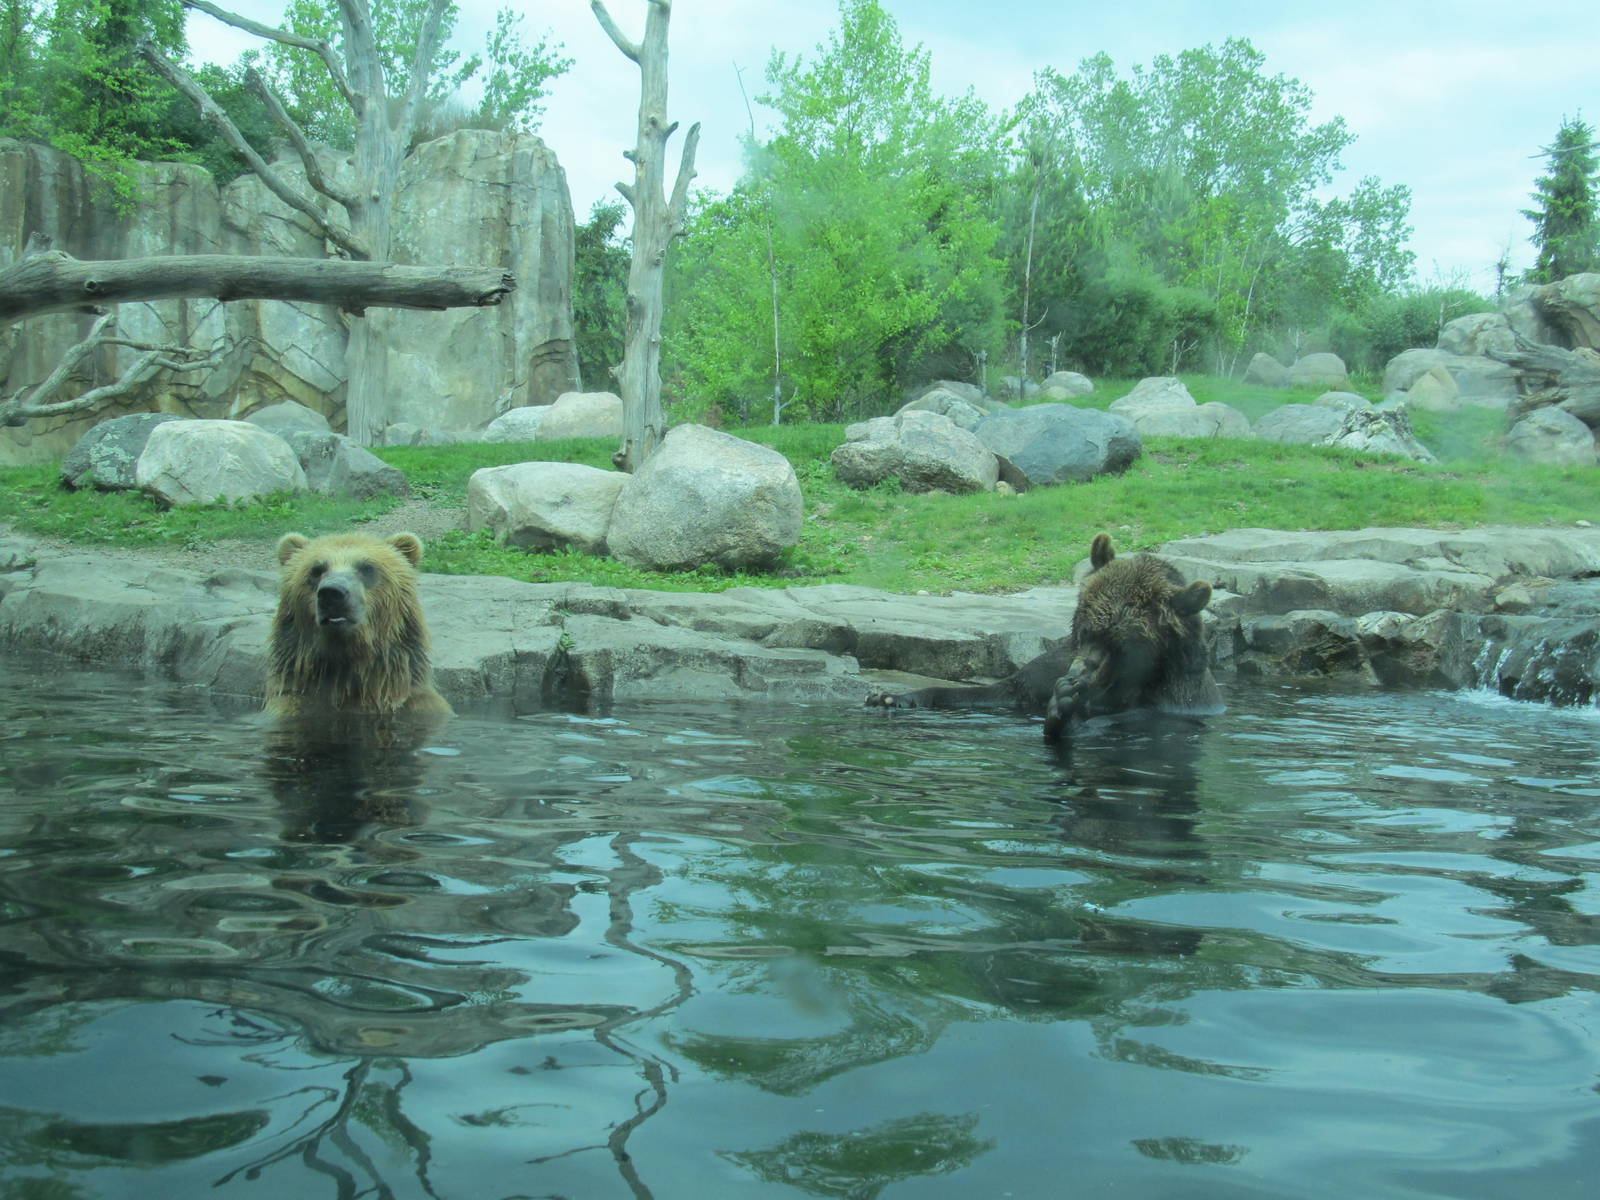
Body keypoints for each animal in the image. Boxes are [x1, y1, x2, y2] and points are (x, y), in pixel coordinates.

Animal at [866, 533, 1222, 738]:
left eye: (1120, 644)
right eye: (1086, 628)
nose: (1077, 674)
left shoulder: (1168, 704)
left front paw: (1064, 712)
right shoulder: (1046, 671)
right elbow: (1000, 690)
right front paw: (893, 696)